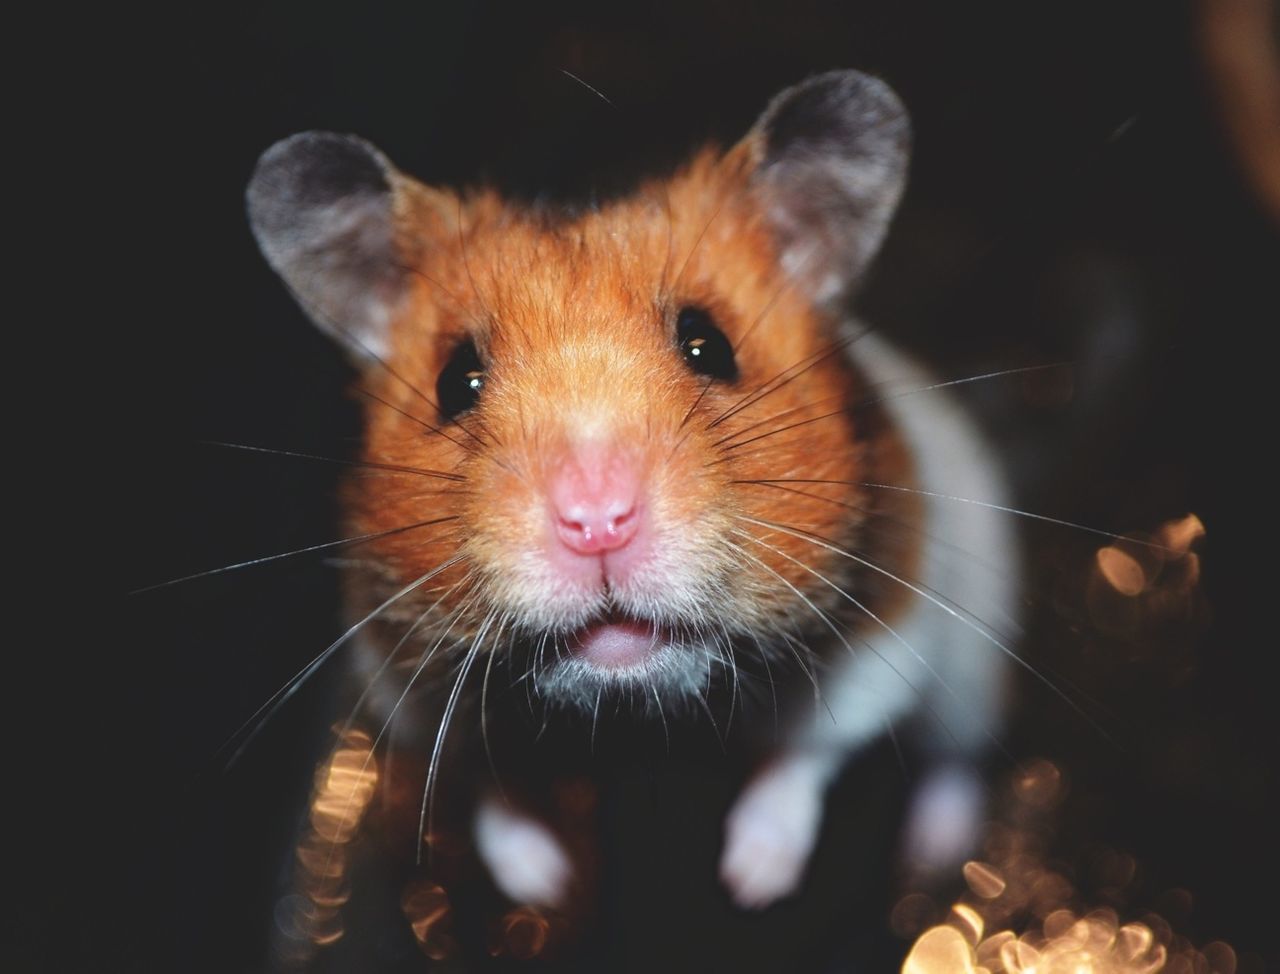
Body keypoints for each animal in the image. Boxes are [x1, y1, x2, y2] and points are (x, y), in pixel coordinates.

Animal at [244, 70, 1013, 926]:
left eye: (710, 344)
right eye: (455, 382)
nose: (597, 522)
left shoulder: (895, 621)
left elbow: (806, 752)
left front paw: (751, 884)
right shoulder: (394, 675)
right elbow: (484, 785)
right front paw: (545, 890)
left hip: (976, 659)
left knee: (958, 759)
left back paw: (937, 852)